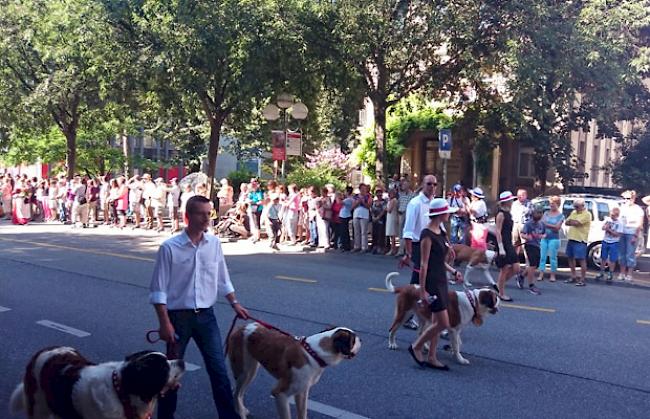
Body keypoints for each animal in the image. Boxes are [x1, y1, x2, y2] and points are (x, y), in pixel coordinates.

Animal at [227, 324, 360, 418]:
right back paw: (240, 412)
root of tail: (241, 328)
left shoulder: (302, 392)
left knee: (239, 392)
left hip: (252, 369)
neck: (313, 354)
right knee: (236, 393)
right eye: (353, 340)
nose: (361, 340)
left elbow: (302, 412)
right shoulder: (279, 394)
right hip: (244, 370)